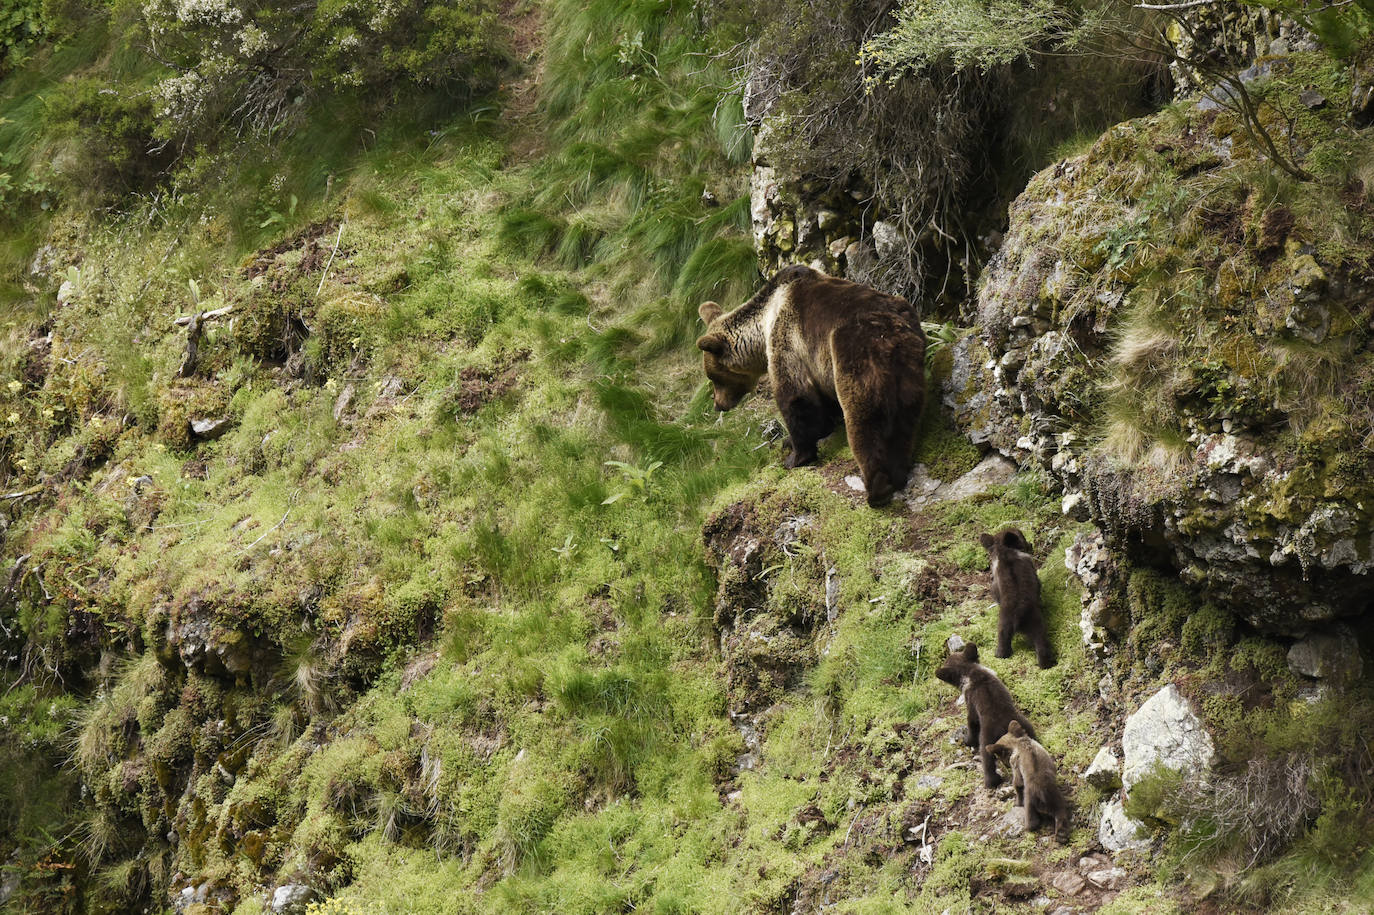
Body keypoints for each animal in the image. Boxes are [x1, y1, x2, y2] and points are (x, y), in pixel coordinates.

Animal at [697, 263, 923, 505]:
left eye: (713, 378)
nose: (718, 405)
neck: (763, 323)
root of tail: (893, 326)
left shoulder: (787, 340)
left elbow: (795, 397)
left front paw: (795, 455)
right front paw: (797, 438)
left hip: (855, 354)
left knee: (864, 416)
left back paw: (876, 487)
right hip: (908, 366)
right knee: (903, 416)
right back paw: (897, 472)